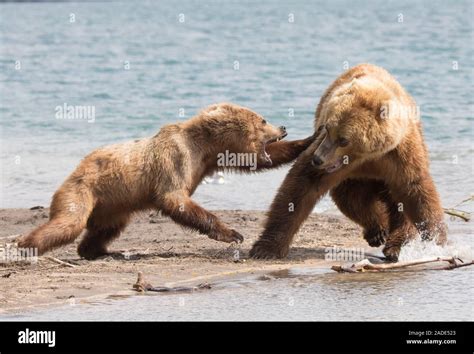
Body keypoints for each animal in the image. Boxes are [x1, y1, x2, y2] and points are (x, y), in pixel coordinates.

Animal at [17, 103, 314, 258]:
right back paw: (26, 245)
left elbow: (256, 161)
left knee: (105, 229)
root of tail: (75, 171)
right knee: (68, 223)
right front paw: (233, 233)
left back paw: (100, 251)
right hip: (82, 190)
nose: (283, 127)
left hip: (112, 206)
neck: (203, 145)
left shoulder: (213, 159)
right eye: (263, 120)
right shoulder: (175, 159)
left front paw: (309, 139)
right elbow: (175, 199)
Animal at [250, 63, 446, 262]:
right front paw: (265, 248)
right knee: (352, 199)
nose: (317, 159)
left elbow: (414, 189)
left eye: (343, 139)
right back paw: (376, 231)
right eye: (327, 128)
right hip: (353, 180)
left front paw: (436, 240)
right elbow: (301, 188)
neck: (368, 155)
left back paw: (394, 244)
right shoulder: (334, 160)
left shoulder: (399, 152)